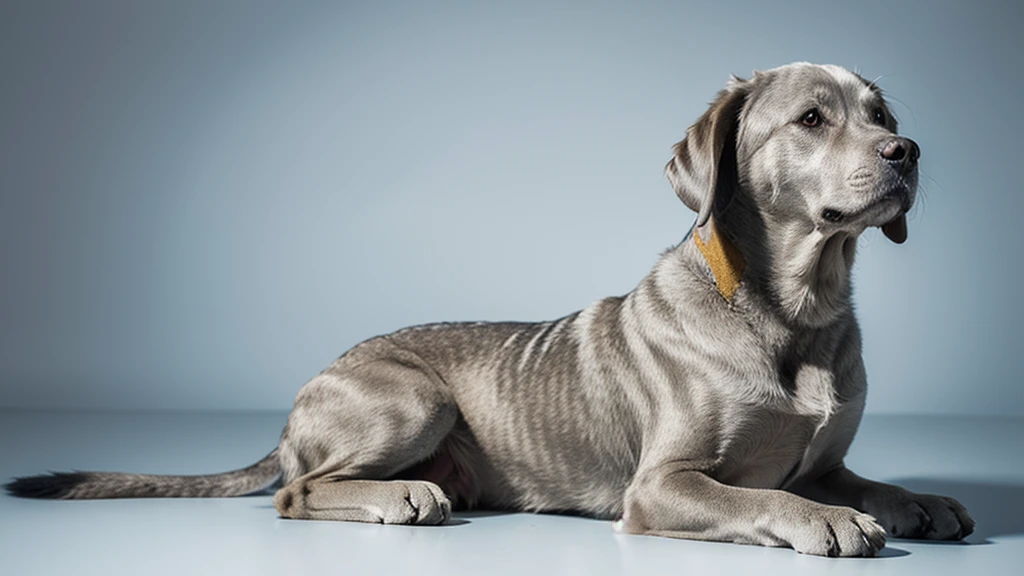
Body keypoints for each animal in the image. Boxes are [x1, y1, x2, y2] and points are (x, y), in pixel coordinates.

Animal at [6, 62, 974, 557]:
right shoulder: (662, 485)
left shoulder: (827, 459)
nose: (908, 149)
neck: (792, 309)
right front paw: (827, 523)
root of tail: (297, 404)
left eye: (880, 112)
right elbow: (765, 497)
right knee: (297, 491)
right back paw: (395, 498)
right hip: (409, 398)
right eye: (811, 119)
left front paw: (915, 500)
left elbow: (861, 479)